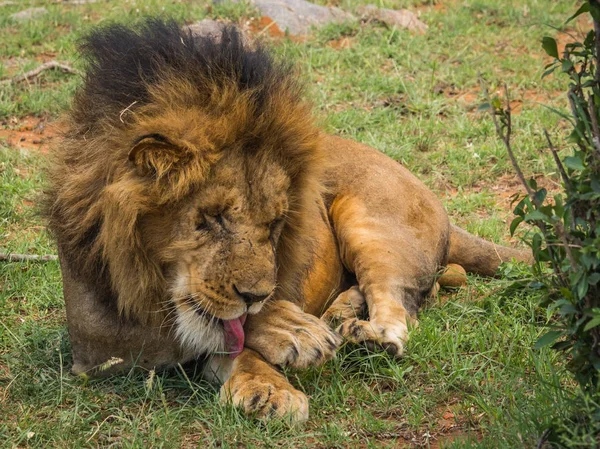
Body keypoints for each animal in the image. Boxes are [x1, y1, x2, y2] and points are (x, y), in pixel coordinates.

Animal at [47, 19, 532, 422]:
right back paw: (341, 315)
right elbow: (199, 329)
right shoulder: (97, 343)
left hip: (371, 224)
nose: (256, 296)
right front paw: (280, 353)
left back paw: (368, 335)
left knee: (402, 309)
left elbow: (223, 332)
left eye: (277, 223)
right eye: (214, 218)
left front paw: (281, 343)